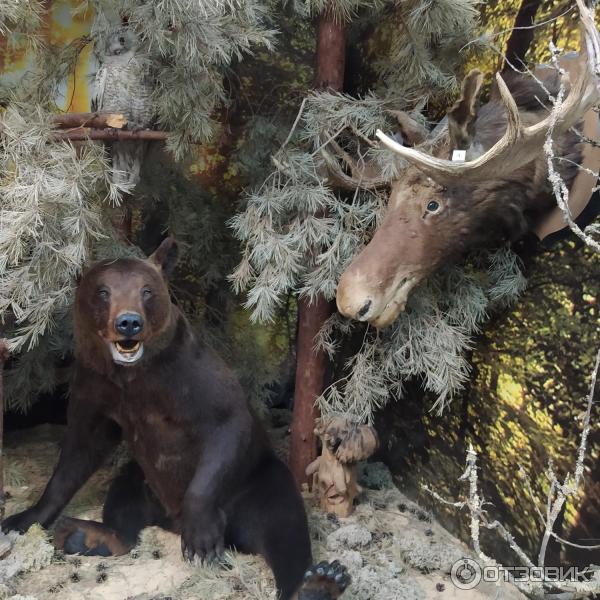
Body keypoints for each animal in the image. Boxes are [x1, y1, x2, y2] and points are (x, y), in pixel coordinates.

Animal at [4, 239, 350, 600]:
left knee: (283, 524)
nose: (129, 322)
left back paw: (318, 581)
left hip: (257, 482)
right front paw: (20, 520)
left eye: (146, 291)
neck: (131, 377)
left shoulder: (192, 383)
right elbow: (78, 454)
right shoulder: (97, 388)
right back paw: (83, 534)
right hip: (143, 481)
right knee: (123, 504)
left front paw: (201, 539)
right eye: (103, 291)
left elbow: (225, 427)